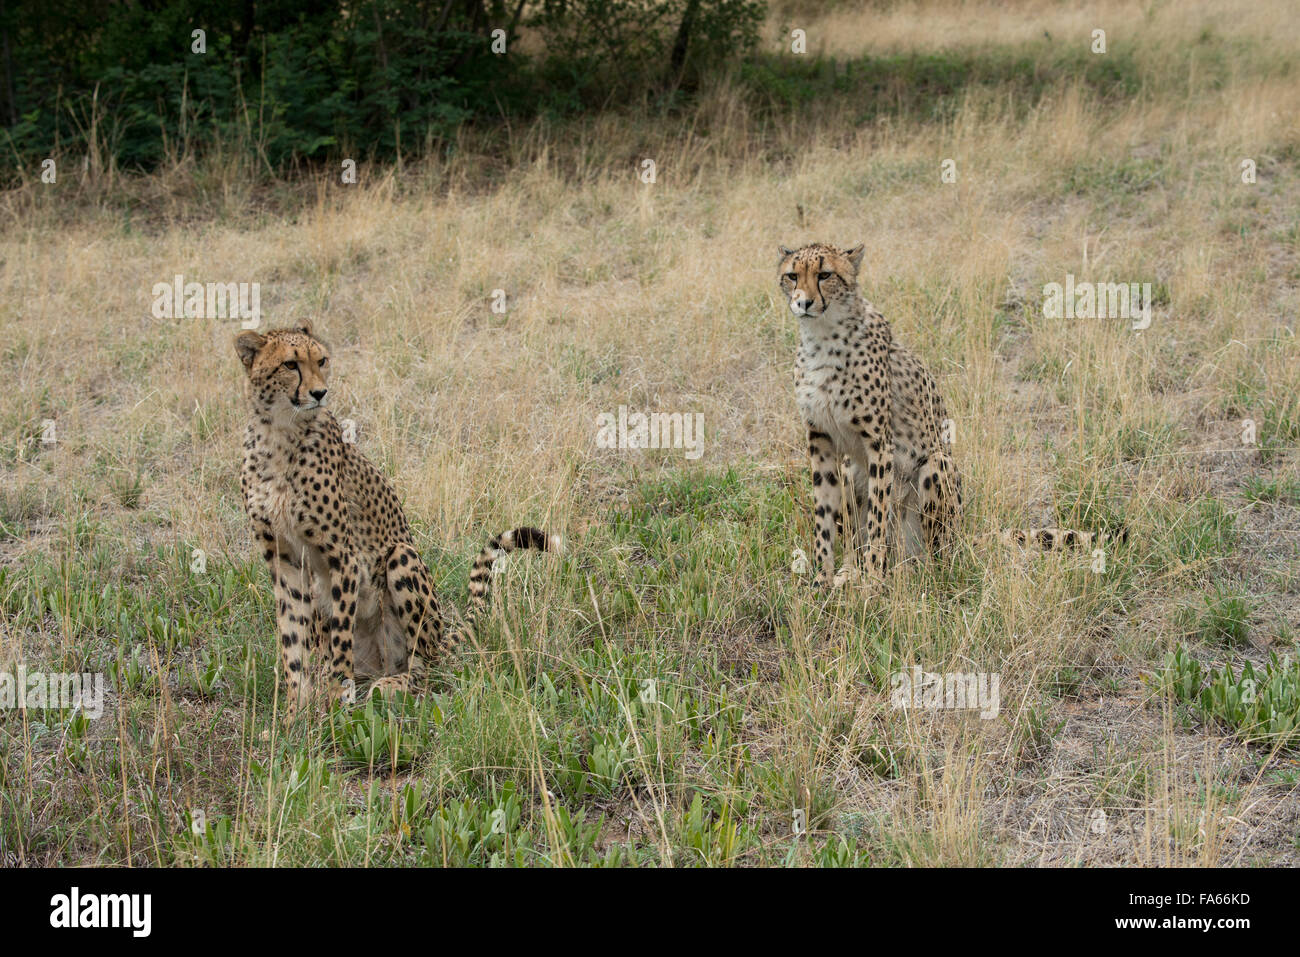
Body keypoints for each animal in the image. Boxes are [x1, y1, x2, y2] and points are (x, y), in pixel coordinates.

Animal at [236, 323, 561, 717]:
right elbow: (292, 641)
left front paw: (336, 705)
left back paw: (392, 684)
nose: (319, 392)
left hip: (401, 559)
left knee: (422, 667)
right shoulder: (283, 560)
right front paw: (295, 712)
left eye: (321, 360)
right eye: (289, 364)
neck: (280, 431)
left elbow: (340, 638)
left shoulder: (342, 556)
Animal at [774, 240, 1123, 582]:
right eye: (792, 276)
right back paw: (850, 571)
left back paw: (905, 572)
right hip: (850, 469)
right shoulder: (820, 439)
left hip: (937, 468)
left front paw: (872, 583)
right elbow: (824, 519)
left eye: (825, 275)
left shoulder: (879, 443)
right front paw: (820, 583)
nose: (803, 303)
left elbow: (877, 517)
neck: (821, 335)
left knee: (937, 560)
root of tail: (963, 534)